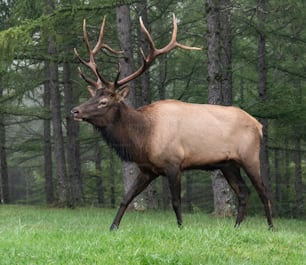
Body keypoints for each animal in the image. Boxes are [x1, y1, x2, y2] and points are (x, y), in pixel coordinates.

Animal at [72, 13, 274, 229]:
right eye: (92, 96)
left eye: (103, 102)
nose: (75, 110)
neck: (143, 138)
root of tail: (259, 125)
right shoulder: (147, 169)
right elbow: (126, 198)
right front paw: (113, 227)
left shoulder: (174, 163)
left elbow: (176, 202)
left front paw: (181, 227)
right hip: (228, 164)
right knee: (244, 191)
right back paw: (236, 227)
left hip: (249, 156)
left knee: (263, 191)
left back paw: (271, 227)